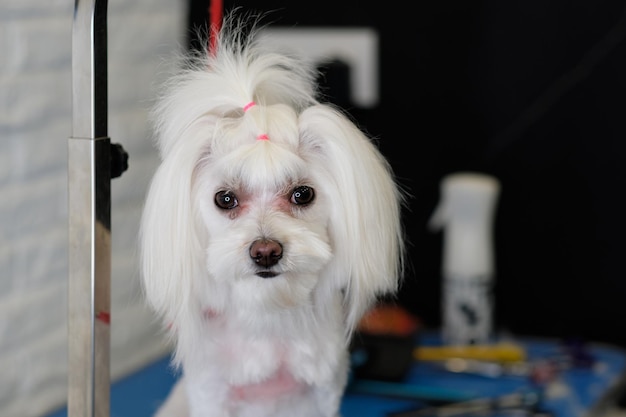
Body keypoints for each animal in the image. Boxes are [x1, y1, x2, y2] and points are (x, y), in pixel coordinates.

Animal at [139, 12, 404, 416]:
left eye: (303, 194)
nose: (265, 251)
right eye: (225, 199)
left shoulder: (323, 391)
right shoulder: (210, 392)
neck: (267, 314)